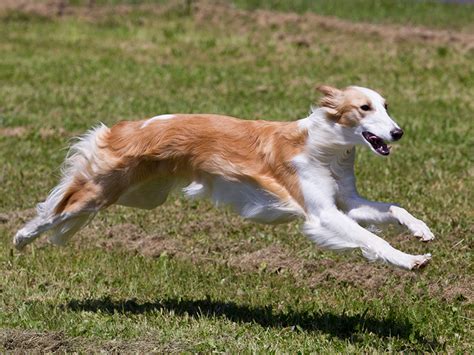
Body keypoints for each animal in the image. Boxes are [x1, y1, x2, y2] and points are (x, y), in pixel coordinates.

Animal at [12, 85, 436, 270]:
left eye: (386, 105)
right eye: (364, 108)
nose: (397, 132)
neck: (324, 148)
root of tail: (127, 126)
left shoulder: (345, 201)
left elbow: (392, 209)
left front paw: (421, 230)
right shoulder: (322, 214)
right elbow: (371, 239)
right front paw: (410, 260)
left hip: (140, 193)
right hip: (101, 190)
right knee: (53, 210)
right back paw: (21, 238)